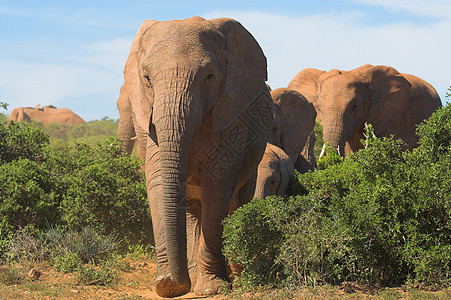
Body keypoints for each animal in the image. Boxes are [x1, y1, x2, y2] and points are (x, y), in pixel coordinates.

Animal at [122, 17, 274, 296]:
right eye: (147, 78)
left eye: (210, 77)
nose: (175, 283)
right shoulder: (148, 123)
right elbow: (158, 182)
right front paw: (166, 285)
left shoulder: (232, 116)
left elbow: (217, 185)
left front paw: (212, 290)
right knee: (194, 213)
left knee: (236, 203)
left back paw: (236, 277)